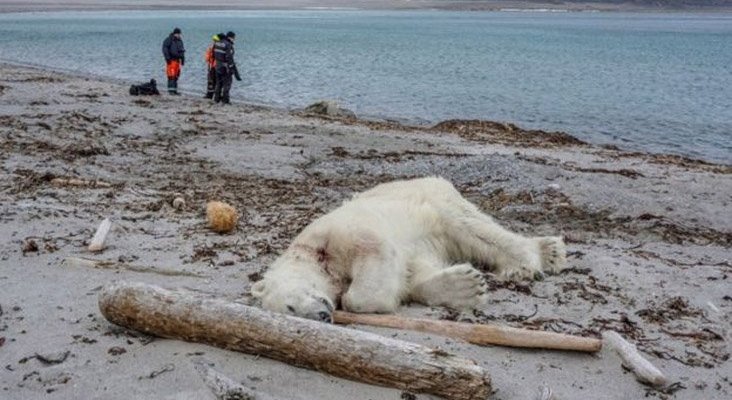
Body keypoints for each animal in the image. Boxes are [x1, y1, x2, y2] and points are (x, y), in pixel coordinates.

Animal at [252, 177, 568, 322]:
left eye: (290, 306)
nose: (321, 315)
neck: (314, 255)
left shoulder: (336, 233)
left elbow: (372, 256)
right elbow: (414, 274)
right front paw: (465, 286)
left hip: (434, 200)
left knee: (473, 228)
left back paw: (535, 258)